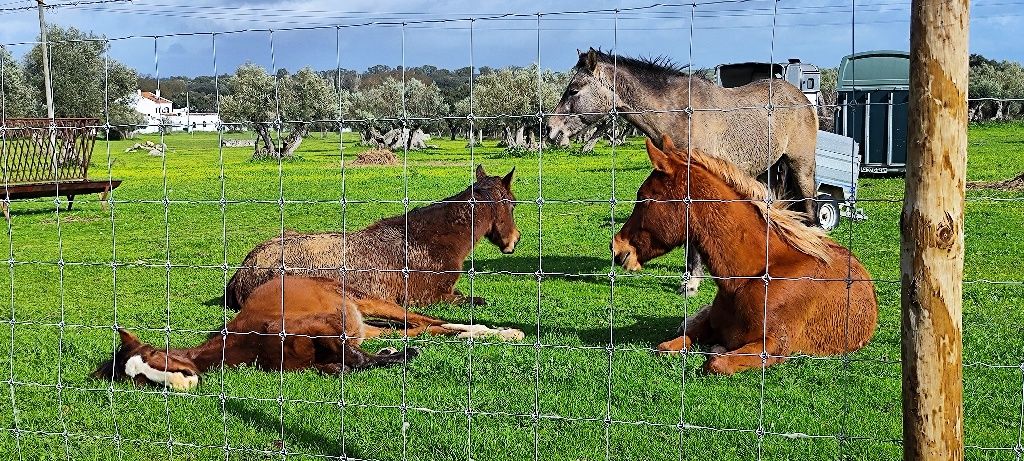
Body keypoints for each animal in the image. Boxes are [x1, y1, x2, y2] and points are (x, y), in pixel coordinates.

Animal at [92, 274, 524, 391]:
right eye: (142, 382)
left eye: (154, 356)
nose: (183, 383)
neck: (247, 343)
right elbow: (342, 367)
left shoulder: (322, 327)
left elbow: (356, 361)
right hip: (367, 324)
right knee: (420, 330)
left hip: (371, 305)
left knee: (425, 322)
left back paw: (502, 331)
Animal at [227, 164, 520, 313]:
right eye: (514, 204)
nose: (514, 240)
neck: (433, 240)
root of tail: (241, 273)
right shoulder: (428, 297)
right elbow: (474, 299)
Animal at [548, 49, 819, 295]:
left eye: (574, 90)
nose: (550, 129)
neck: (680, 115)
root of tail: (801, 98)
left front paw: (691, 283)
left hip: (801, 167)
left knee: (811, 209)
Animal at [610, 136, 876, 374]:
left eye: (645, 198)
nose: (617, 248)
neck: (746, 279)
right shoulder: (709, 324)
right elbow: (668, 345)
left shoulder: (774, 346)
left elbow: (716, 363)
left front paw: (715, 350)